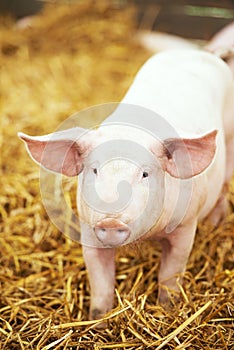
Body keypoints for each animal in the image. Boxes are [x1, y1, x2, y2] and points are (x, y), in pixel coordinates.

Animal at [19, 39, 234, 322]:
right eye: (95, 170)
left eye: (144, 174)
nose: (111, 221)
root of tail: (202, 52)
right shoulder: (88, 231)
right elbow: (100, 284)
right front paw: (98, 320)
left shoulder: (185, 226)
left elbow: (170, 274)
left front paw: (168, 309)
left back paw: (216, 222)